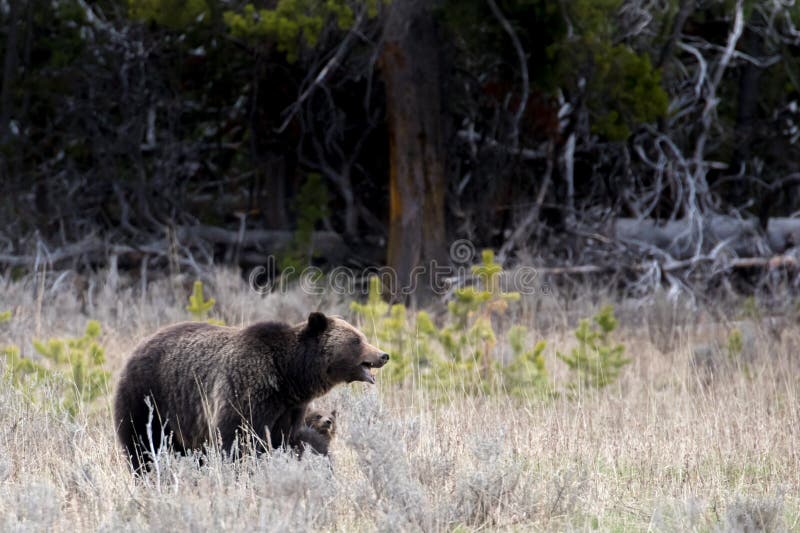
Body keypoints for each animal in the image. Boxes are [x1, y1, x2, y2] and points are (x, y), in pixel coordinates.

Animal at [113, 312, 388, 470]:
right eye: (356, 340)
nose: (383, 355)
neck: (289, 375)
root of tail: (137, 346)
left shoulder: (287, 410)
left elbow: (280, 440)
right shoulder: (246, 389)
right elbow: (236, 438)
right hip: (149, 396)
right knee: (143, 443)